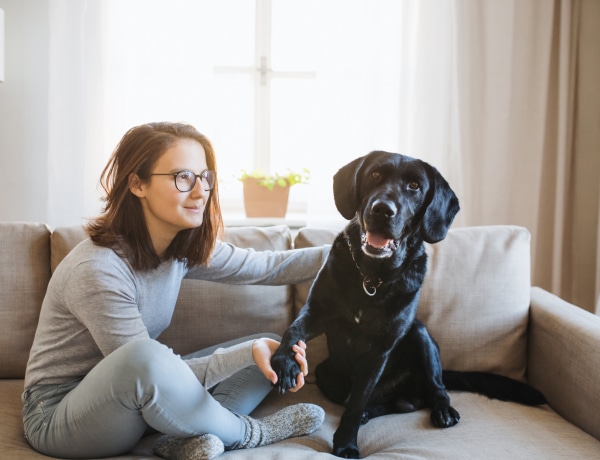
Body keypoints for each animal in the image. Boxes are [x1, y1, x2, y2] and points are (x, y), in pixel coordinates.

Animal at [272, 151, 548, 456]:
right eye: (375, 175)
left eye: (414, 186)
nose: (382, 210)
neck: (372, 278)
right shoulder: (318, 311)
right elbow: (294, 329)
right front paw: (285, 361)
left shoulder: (379, 349)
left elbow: (356, 402)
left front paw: (346, 444)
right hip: (326, 373)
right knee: (394, 403)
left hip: (421, 336)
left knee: (434, 390)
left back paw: (442, 410)